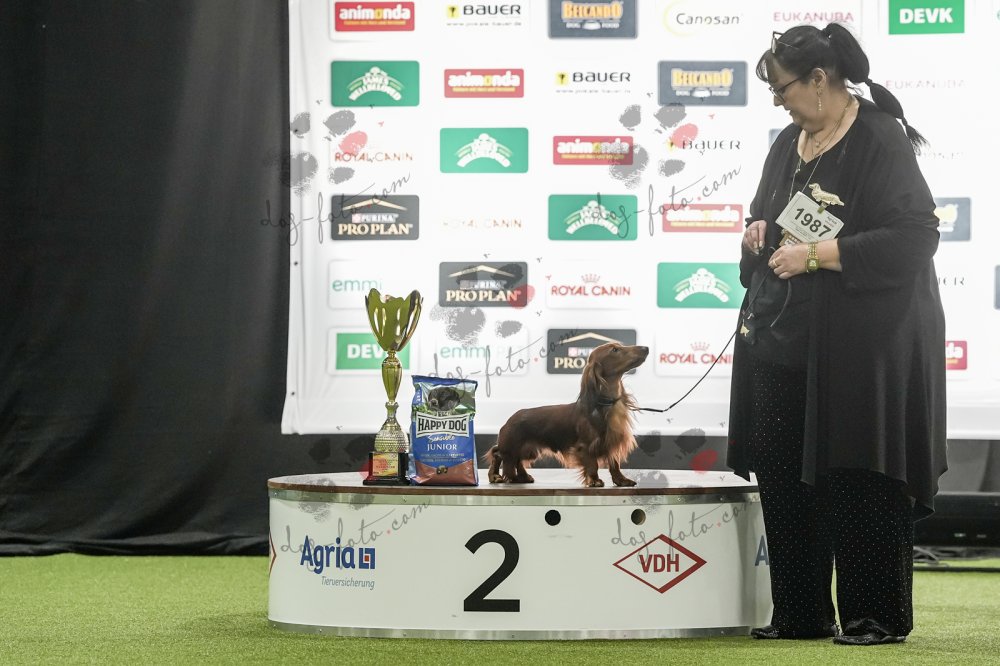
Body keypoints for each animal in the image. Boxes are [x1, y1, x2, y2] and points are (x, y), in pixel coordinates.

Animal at [486, 342, 649, 487]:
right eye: (615, 350)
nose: (645, 348)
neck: (608, 403)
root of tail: (509, 420)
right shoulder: (585, 446)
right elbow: (592, 464)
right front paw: (594, 480)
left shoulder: (611, 441)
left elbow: (615, 465)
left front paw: (621, 480)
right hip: (512, 446)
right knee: (499, 455)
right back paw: (496, 476)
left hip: (528, 450)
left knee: (516, 461)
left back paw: (522, 477)